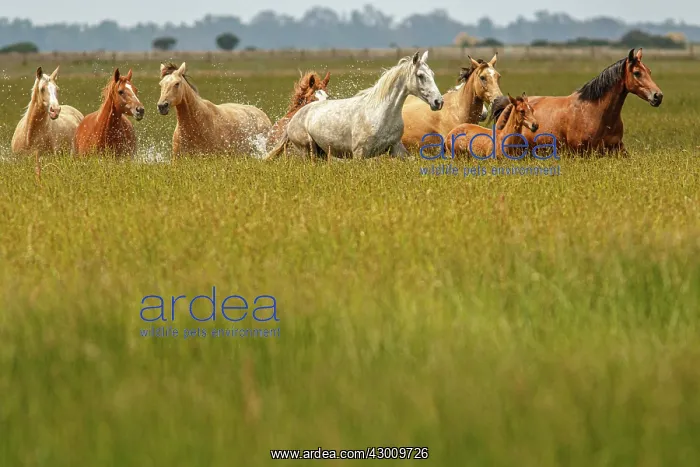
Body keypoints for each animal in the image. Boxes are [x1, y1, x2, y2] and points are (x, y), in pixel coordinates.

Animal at [264, 51, 443, 161]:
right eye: (420, 75)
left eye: (433, 74)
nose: (438, 102)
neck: (381, 114)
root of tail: (295, 117)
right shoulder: (360, 154)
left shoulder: (396, 149)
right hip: (308, 151)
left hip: (321, 153)